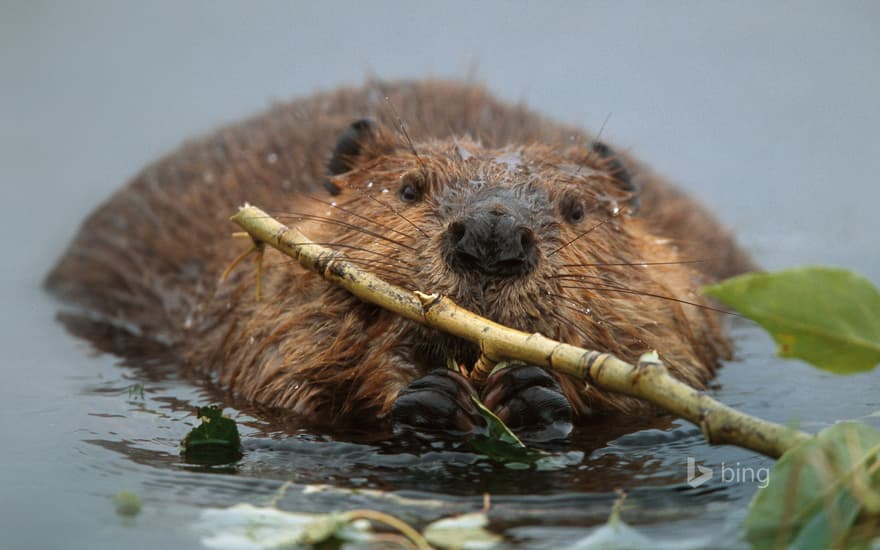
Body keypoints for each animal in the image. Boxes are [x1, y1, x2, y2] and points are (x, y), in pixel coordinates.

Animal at [46, 78, 748, 444]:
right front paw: (428, 397)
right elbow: (273, 358)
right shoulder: (249, 307)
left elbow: (669, 362)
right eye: (409, 189)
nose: (492, 238)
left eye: (575, 208)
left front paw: (531, 392)